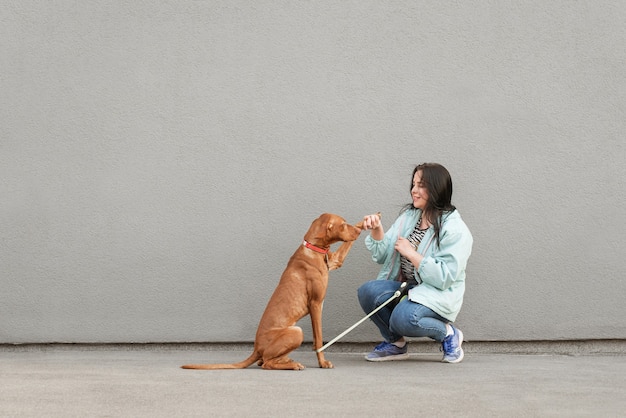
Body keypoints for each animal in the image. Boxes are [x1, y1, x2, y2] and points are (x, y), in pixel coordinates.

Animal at [180, 214, 360, 370]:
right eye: (343, 224)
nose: (358, 233)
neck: (313, 249)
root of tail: (256, 348)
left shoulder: (336, 260)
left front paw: (365, 223)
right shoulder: (315, 304)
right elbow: (320, 338)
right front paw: (322, 362)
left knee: (265, 360)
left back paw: (287, 360)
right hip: (296, 331)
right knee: (266, 363)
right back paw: (291, 365)